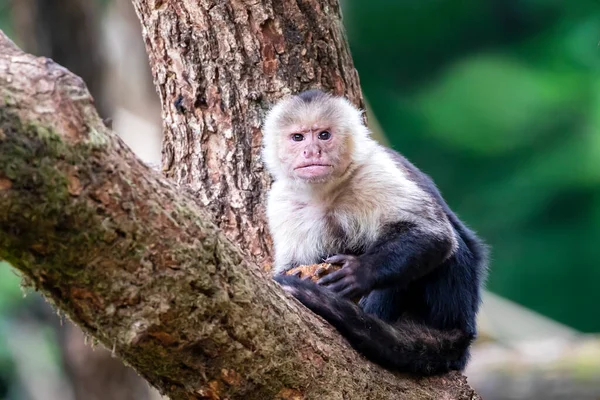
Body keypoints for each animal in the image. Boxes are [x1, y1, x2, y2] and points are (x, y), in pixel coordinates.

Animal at [262, 89, 488, 376]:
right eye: (298, 137)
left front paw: (359, 273)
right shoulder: (281, 200)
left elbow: (433, 234)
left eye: (324, 135)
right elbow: (293, 265)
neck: (327, 191)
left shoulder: (372, 172)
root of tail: (464, 327)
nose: (311, 151)